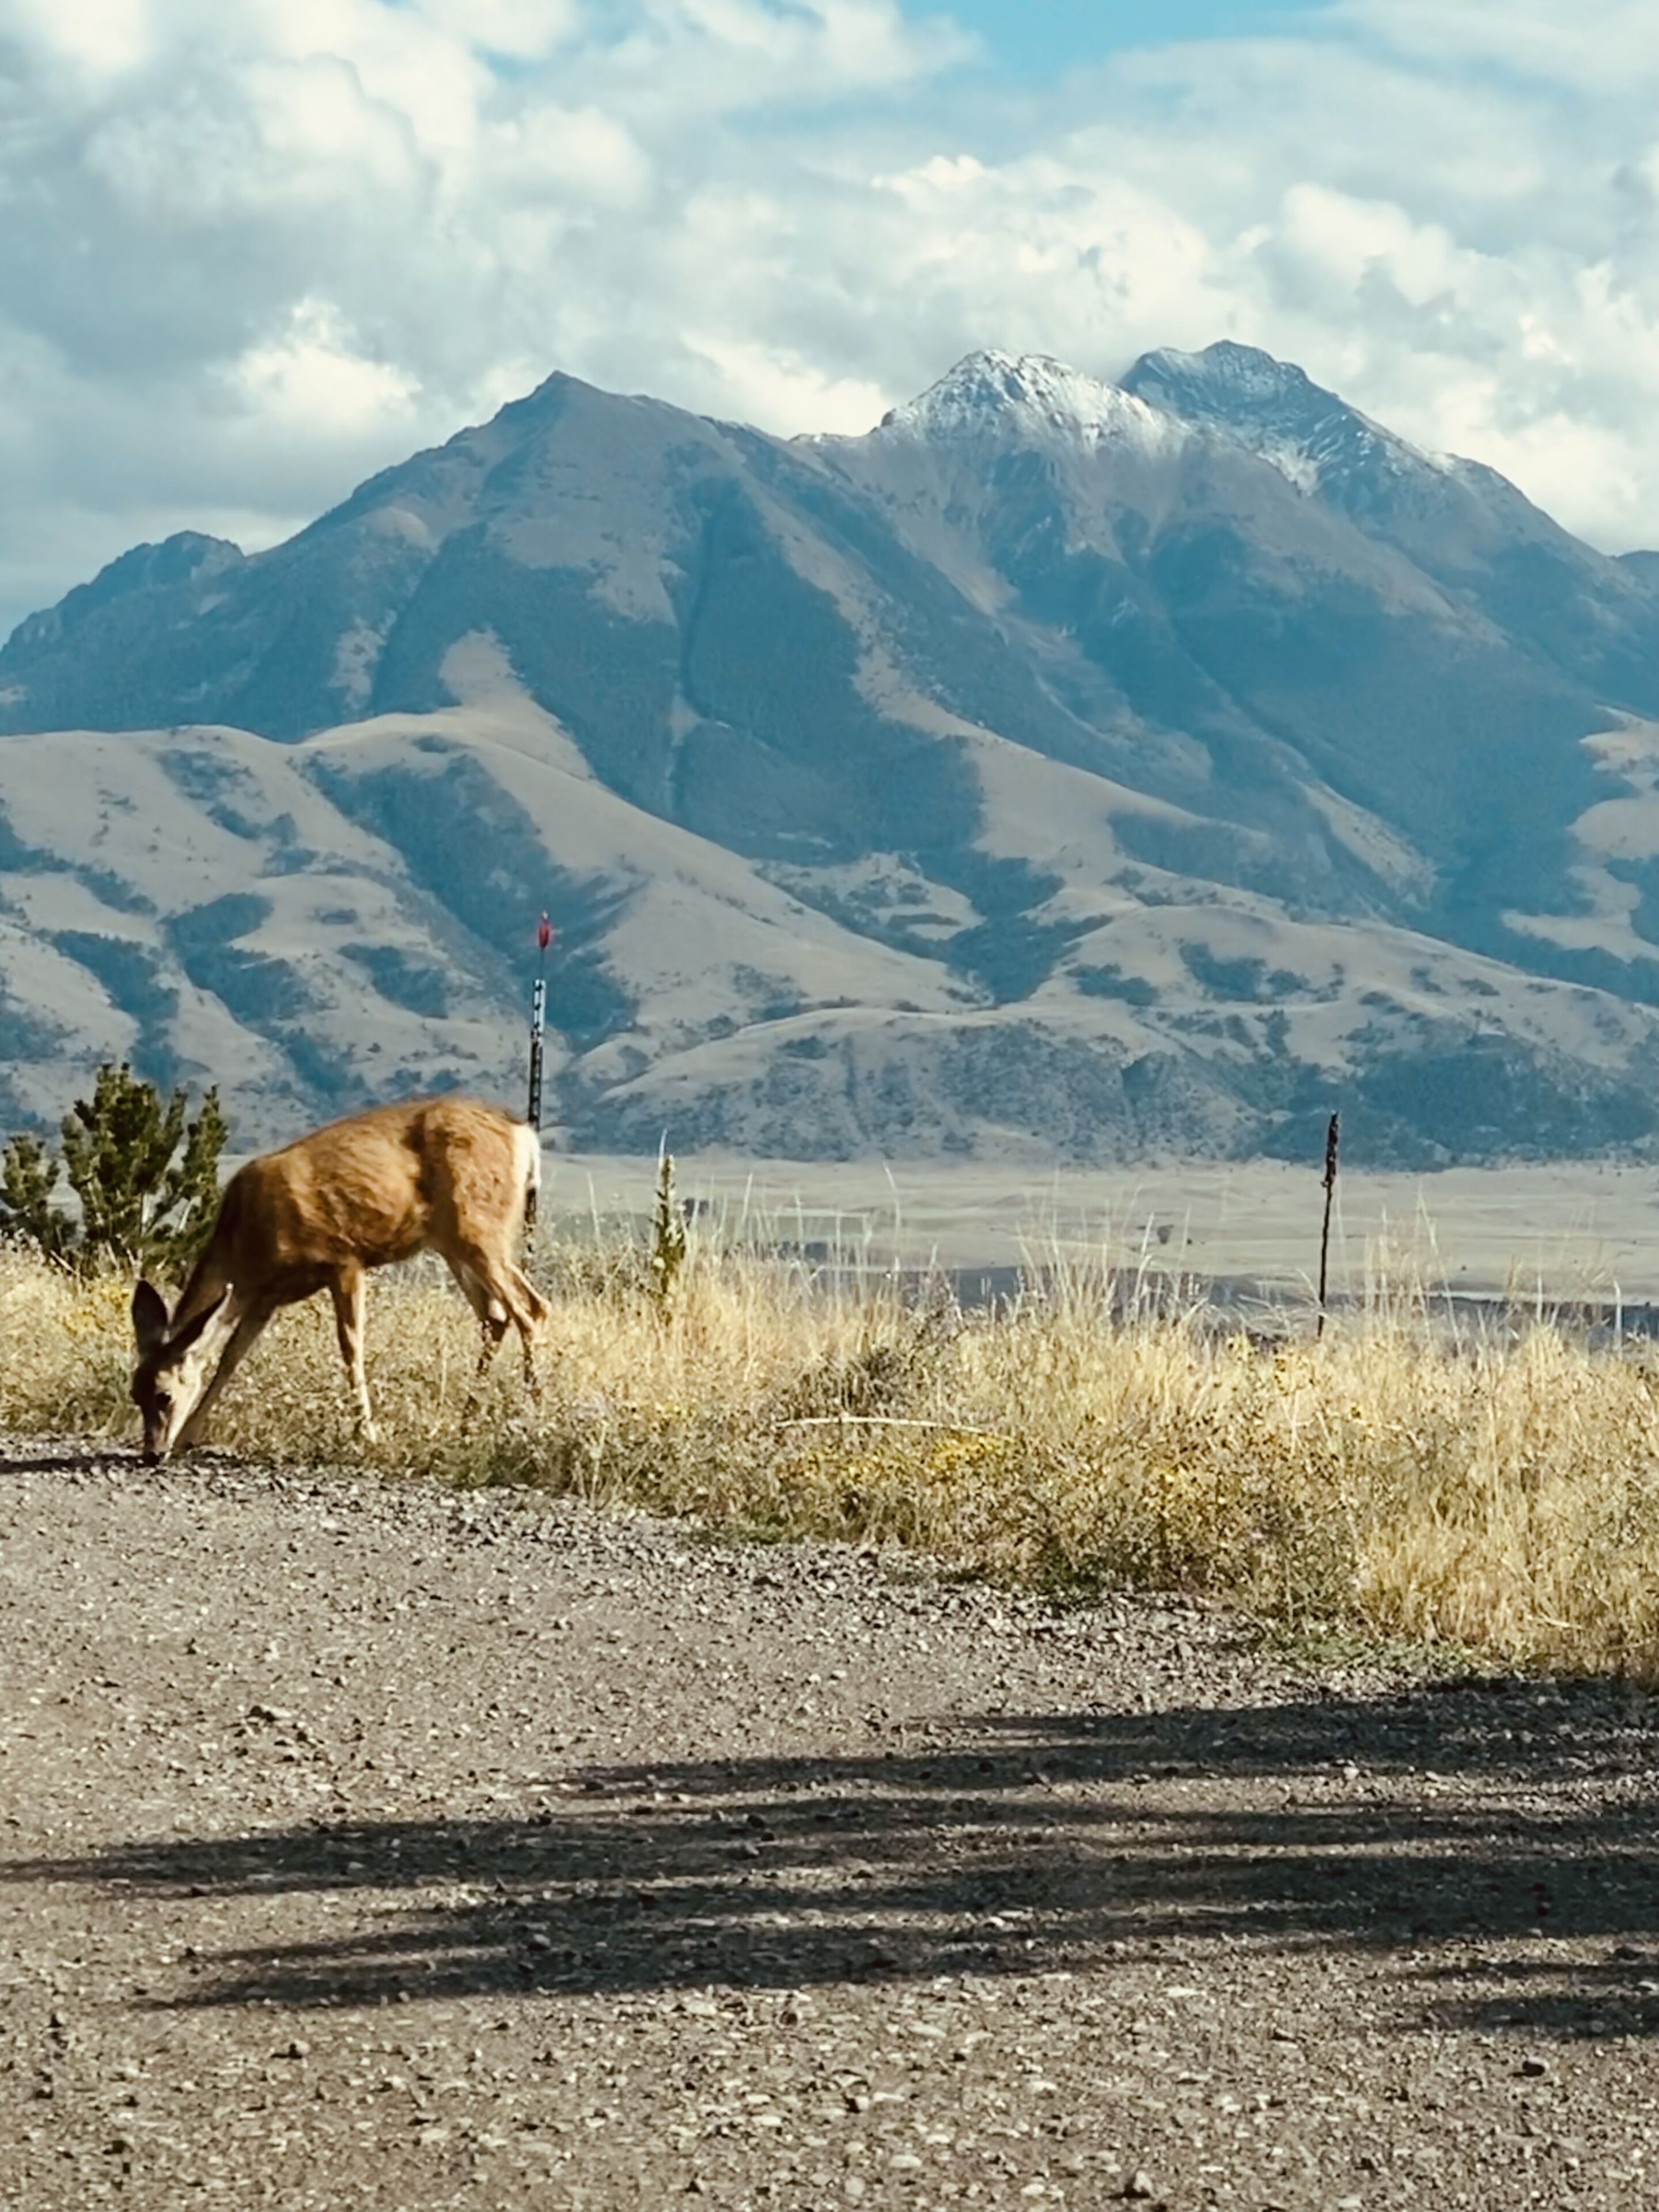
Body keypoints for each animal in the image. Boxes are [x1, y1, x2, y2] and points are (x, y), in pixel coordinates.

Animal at [129, 1097, 548, 1462]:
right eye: (135, 1393)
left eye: (164, 1396)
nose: (152, 1453)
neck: (244, 1244)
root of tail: (524, 1136)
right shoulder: (264, 1296)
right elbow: (231, 1358)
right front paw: (189, 1437)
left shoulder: (343, 1257)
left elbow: (351, 1346)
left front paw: (366, 1433)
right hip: (456, 1242)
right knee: (496, 1316)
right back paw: (466, 1425)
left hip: (477, 1227)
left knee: (531, 1309)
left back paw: (534, 1421)